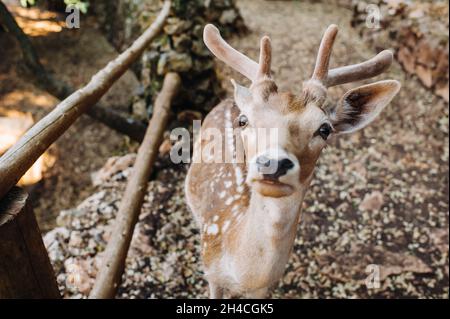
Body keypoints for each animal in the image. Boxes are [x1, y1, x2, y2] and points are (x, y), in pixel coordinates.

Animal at [185, 23, 402, 300]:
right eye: (244, 120)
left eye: (324, 129)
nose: (273, 164)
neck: (245, 274)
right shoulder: (211, 270)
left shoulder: (264, 289)